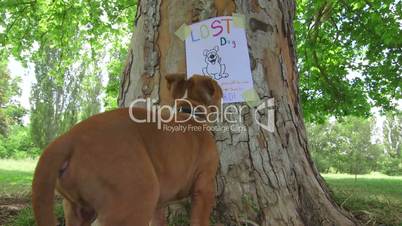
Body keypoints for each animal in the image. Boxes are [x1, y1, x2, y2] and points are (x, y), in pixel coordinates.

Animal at [32, 74, 223, 226]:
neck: (188, 113)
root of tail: (68, 138)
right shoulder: (205, 187)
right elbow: (199, 220)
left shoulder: (160, 203)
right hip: (135, 200)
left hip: (77, 209)